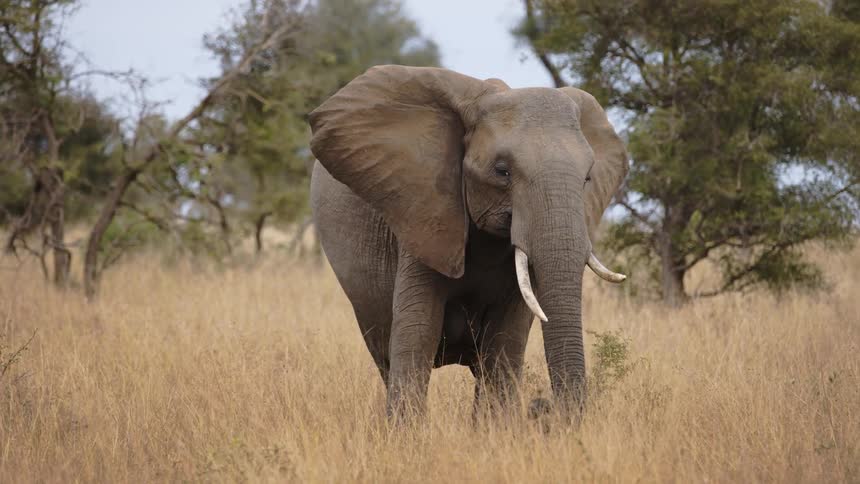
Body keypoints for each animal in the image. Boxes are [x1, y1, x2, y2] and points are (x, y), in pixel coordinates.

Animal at [308, 65, 628, 417]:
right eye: (502, 172)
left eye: (587, 178)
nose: (541, 408)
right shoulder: (424, 213)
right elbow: (418, 332)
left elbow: (505, 343)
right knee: (385, 356)